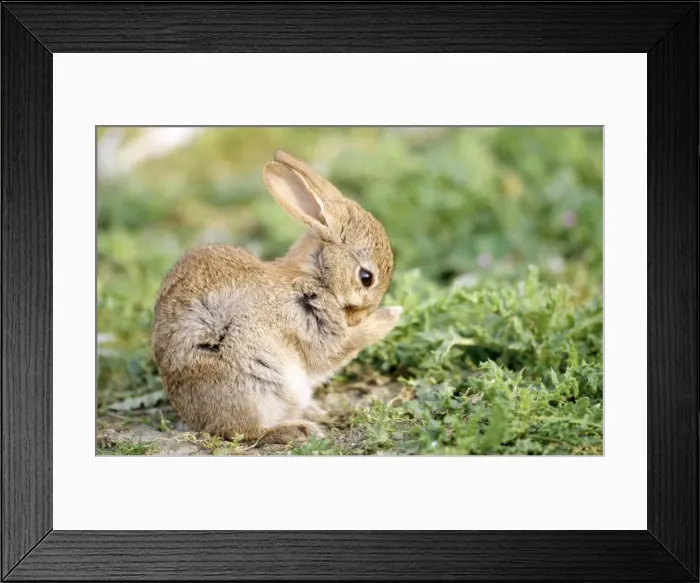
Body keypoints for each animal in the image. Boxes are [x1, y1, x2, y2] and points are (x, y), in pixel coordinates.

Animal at [151, 149, 402, 444]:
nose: (357, 318)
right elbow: (341, 348)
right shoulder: (310, 324)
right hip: (253, 387)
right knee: (247, 431)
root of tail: (196, 419)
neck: (313, 275)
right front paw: (392, 315)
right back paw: (300, 429)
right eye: (366, 277)